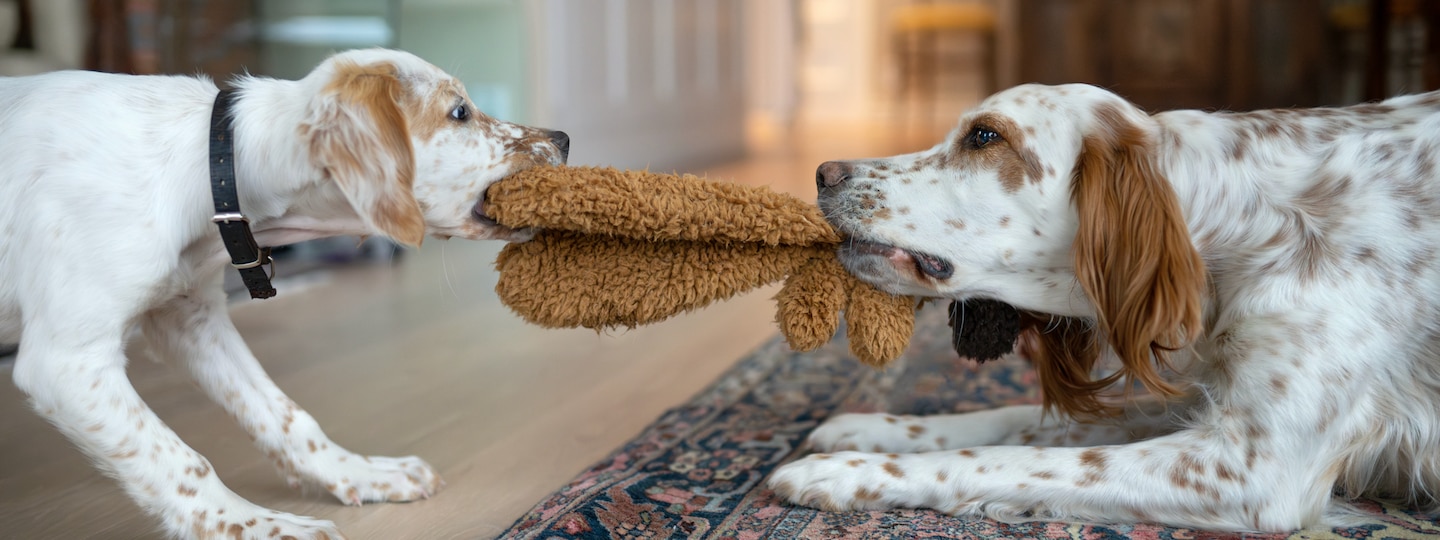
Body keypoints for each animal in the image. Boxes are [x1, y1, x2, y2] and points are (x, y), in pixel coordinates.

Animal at [0, 48, 567, 538]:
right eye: (459, 112)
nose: (564, 138)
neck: (210, 168)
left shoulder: (190, 318)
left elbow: (285, 414)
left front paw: (361, 473)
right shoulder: (66, 362)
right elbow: (181, 459)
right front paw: (256, 525)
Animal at [771, 84, 1440, 532]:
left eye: (985, 136)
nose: (824, 172)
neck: (1248, 226)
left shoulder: (1253, 467)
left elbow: (1015, 458)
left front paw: (846, 471)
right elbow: (1017, 421)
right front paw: (871, 429)